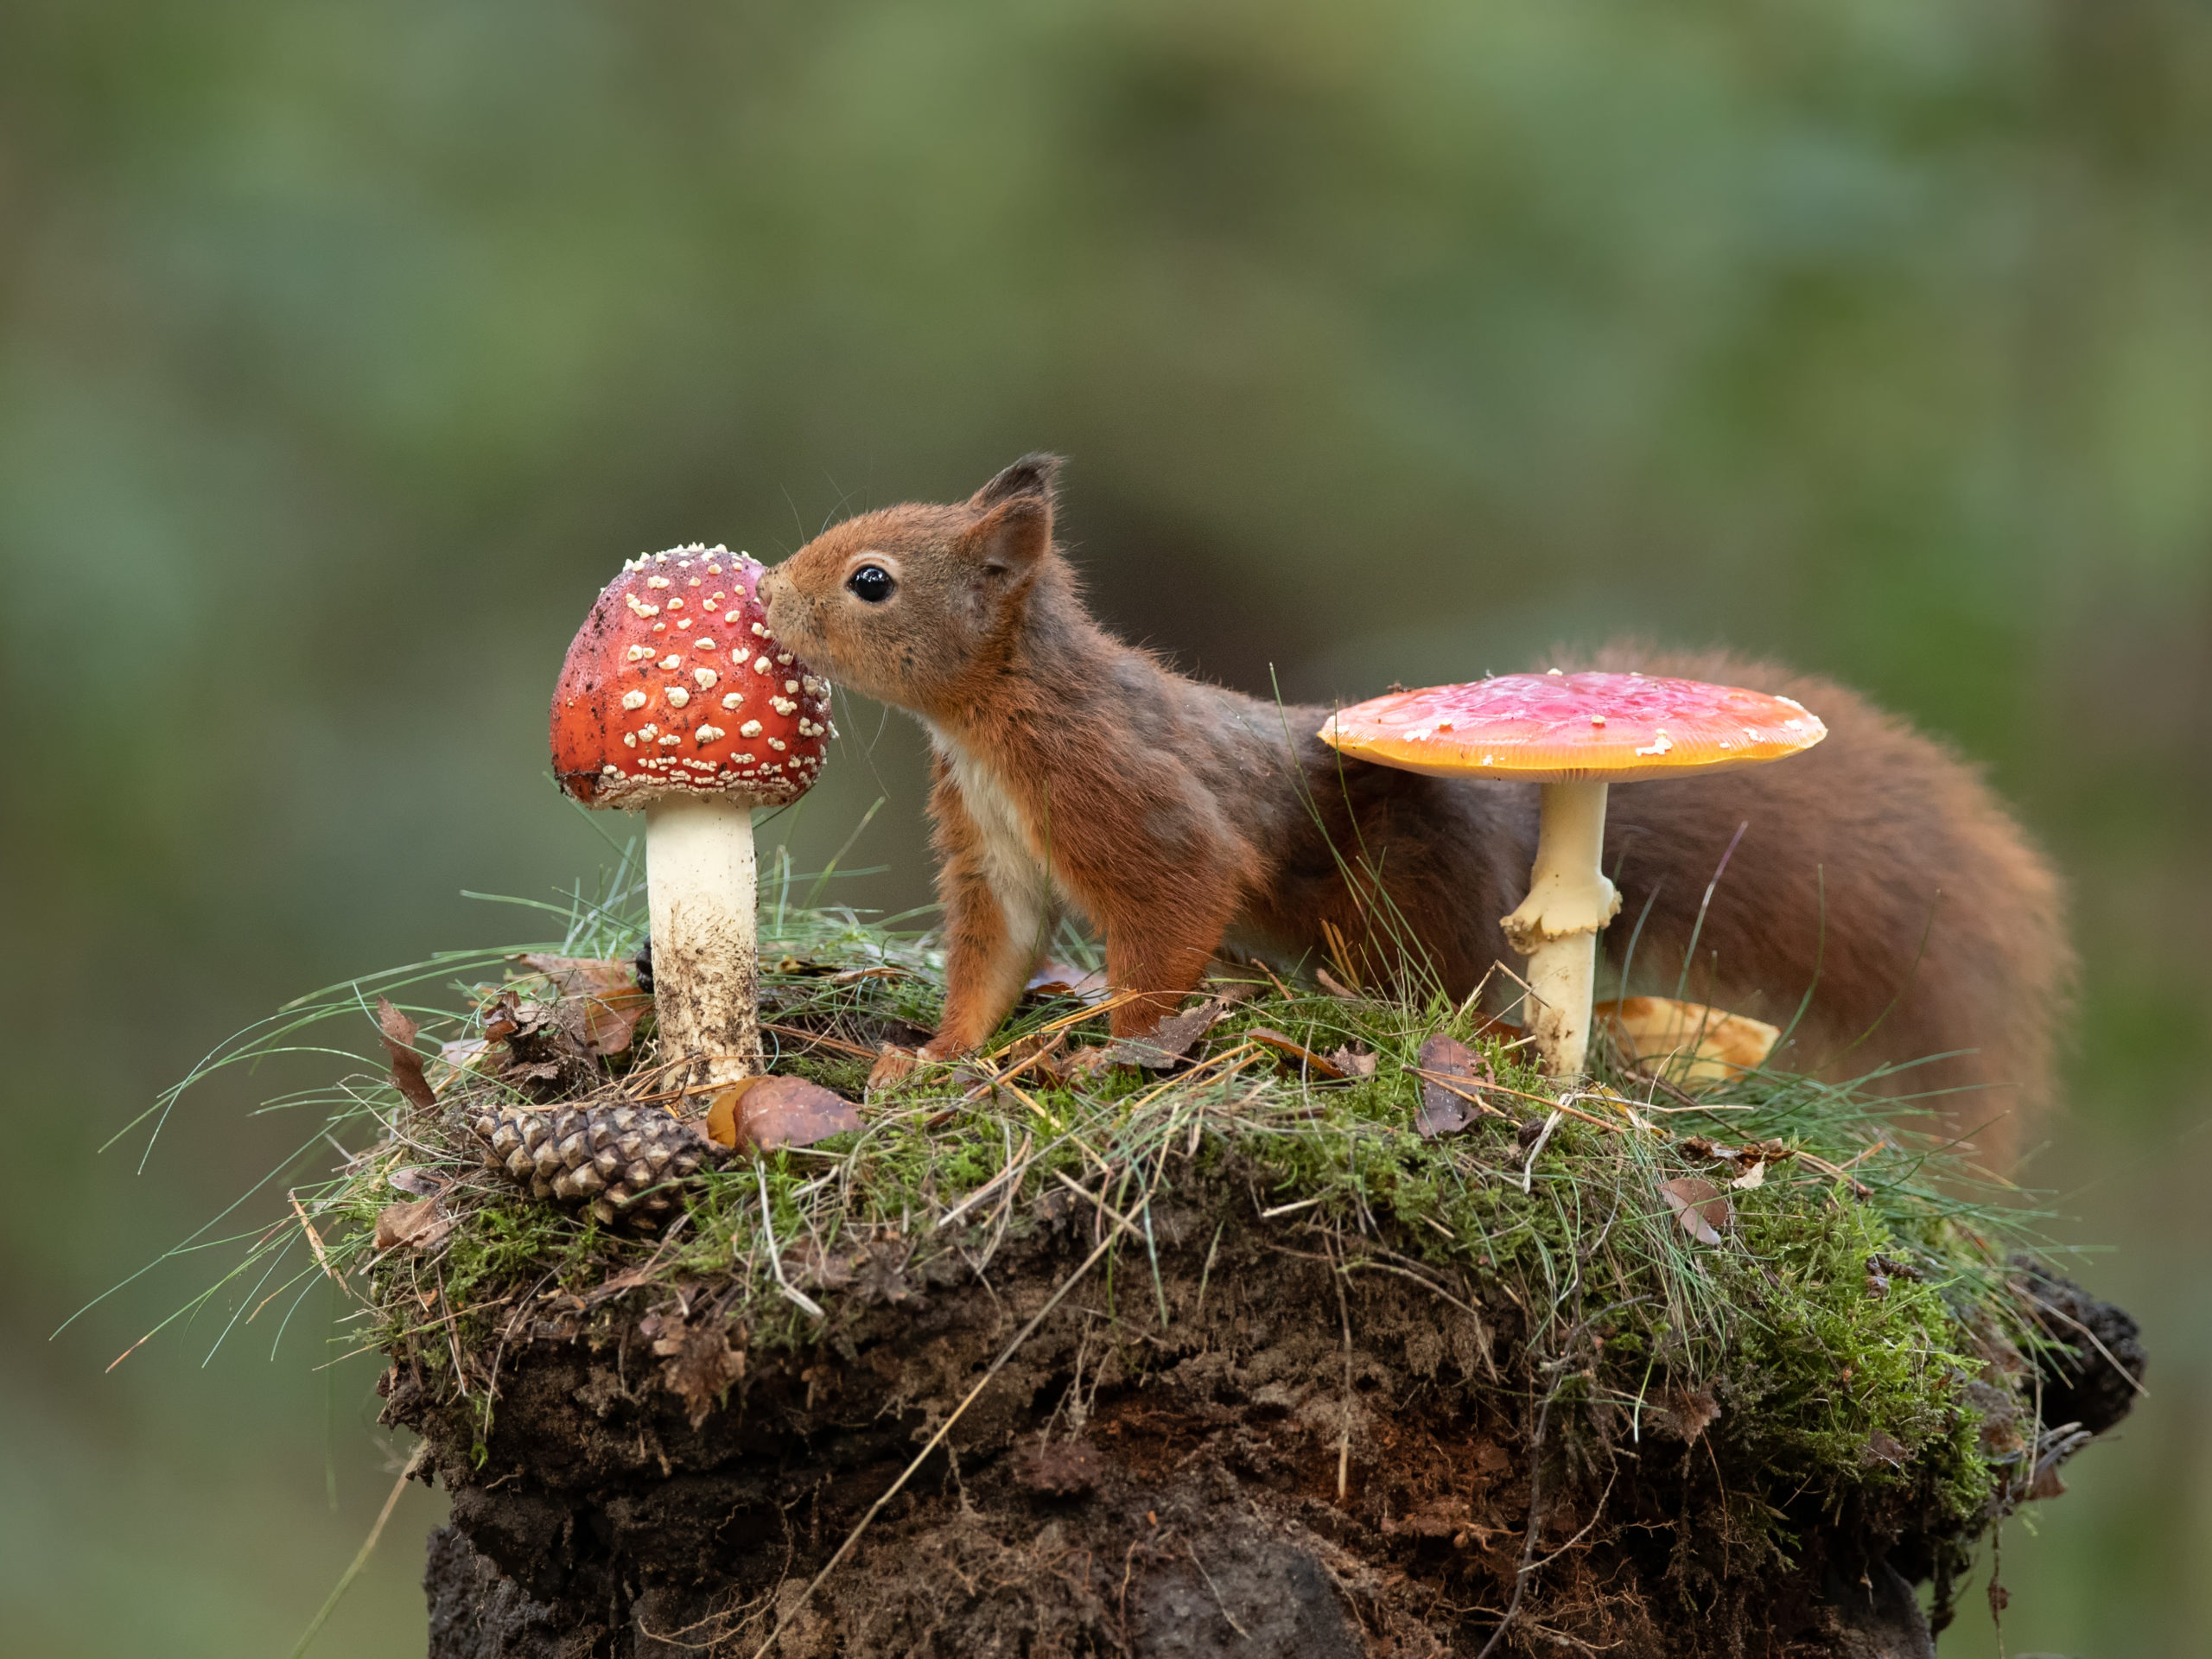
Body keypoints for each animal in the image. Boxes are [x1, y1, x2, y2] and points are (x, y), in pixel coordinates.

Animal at [765, 462, 2070, 1176]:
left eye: (872, 582)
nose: (769, 594)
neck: (990, 720)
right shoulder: (994, 858)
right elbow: (992, 964)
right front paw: (936, 1056)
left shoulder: (1131, 799)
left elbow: (1174, 916)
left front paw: (1101, 1045)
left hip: (1403, 901)